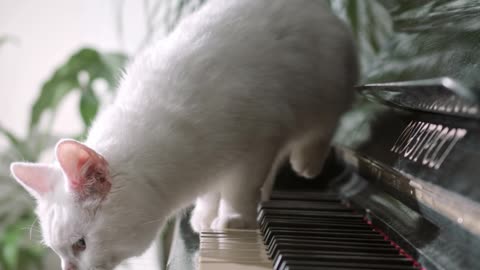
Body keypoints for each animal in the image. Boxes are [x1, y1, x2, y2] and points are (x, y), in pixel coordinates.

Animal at [10, 0, 356, 270]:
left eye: (80, 245)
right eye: (57, 251)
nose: (67, 268)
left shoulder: (259, 142)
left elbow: (240, 189)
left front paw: (233, 220)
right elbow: (213, 191)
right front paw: (205, 216)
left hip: (326, 92)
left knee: (319, 129)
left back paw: (307, 163)